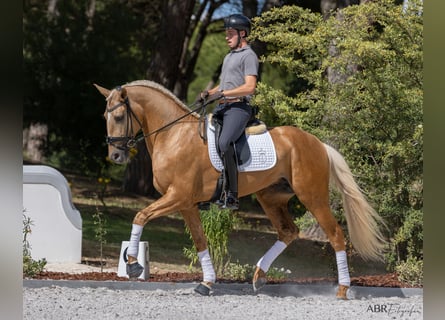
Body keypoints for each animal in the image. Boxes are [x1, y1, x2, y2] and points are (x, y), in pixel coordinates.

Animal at [93, 80, 386, 300]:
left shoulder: (177, 197)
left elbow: (140, 216)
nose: (115, 156)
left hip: (312, 196)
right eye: (105, 116)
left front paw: (133, 264)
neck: (174, 135)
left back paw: (343, 289)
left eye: (119, 116)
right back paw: (259, 276)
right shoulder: (185, 203)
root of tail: (317, 143)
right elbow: (200, 240)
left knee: (335, 234)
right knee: (288, 231)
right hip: (271, 197)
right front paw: (207, 283)